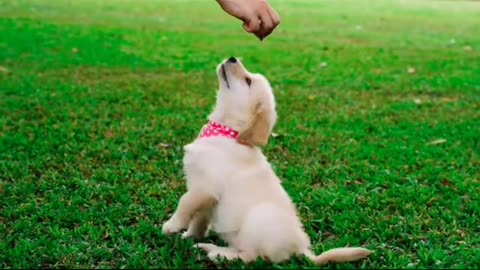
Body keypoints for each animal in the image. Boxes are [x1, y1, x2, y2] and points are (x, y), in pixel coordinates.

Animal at [161, 57, 372, 266]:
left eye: (248, 81)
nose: (232, 58)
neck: (227, 132)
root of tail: (301, 249)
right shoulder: (206, 196)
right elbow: (199, 219)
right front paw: (191, 235)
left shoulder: (205, 187)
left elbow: (185, 201)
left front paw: (172, 225)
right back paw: (208, 247)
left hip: (258, 220)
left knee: (253, 256)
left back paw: (218, 253)